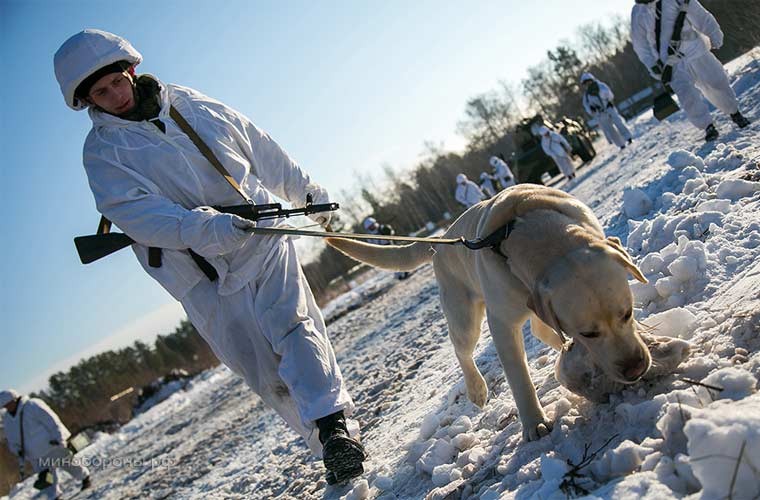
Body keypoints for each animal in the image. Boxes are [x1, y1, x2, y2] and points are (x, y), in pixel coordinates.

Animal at [326, 185, 648, 442]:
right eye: (588, 333)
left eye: (628, 313)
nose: (635, 369)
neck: (538, 236)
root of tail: (444, 237)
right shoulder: (501, 323)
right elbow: (518, 377)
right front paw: (534, 423)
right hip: (465, 317)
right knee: (462, 351)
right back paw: (477, 389)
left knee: (541, 329)